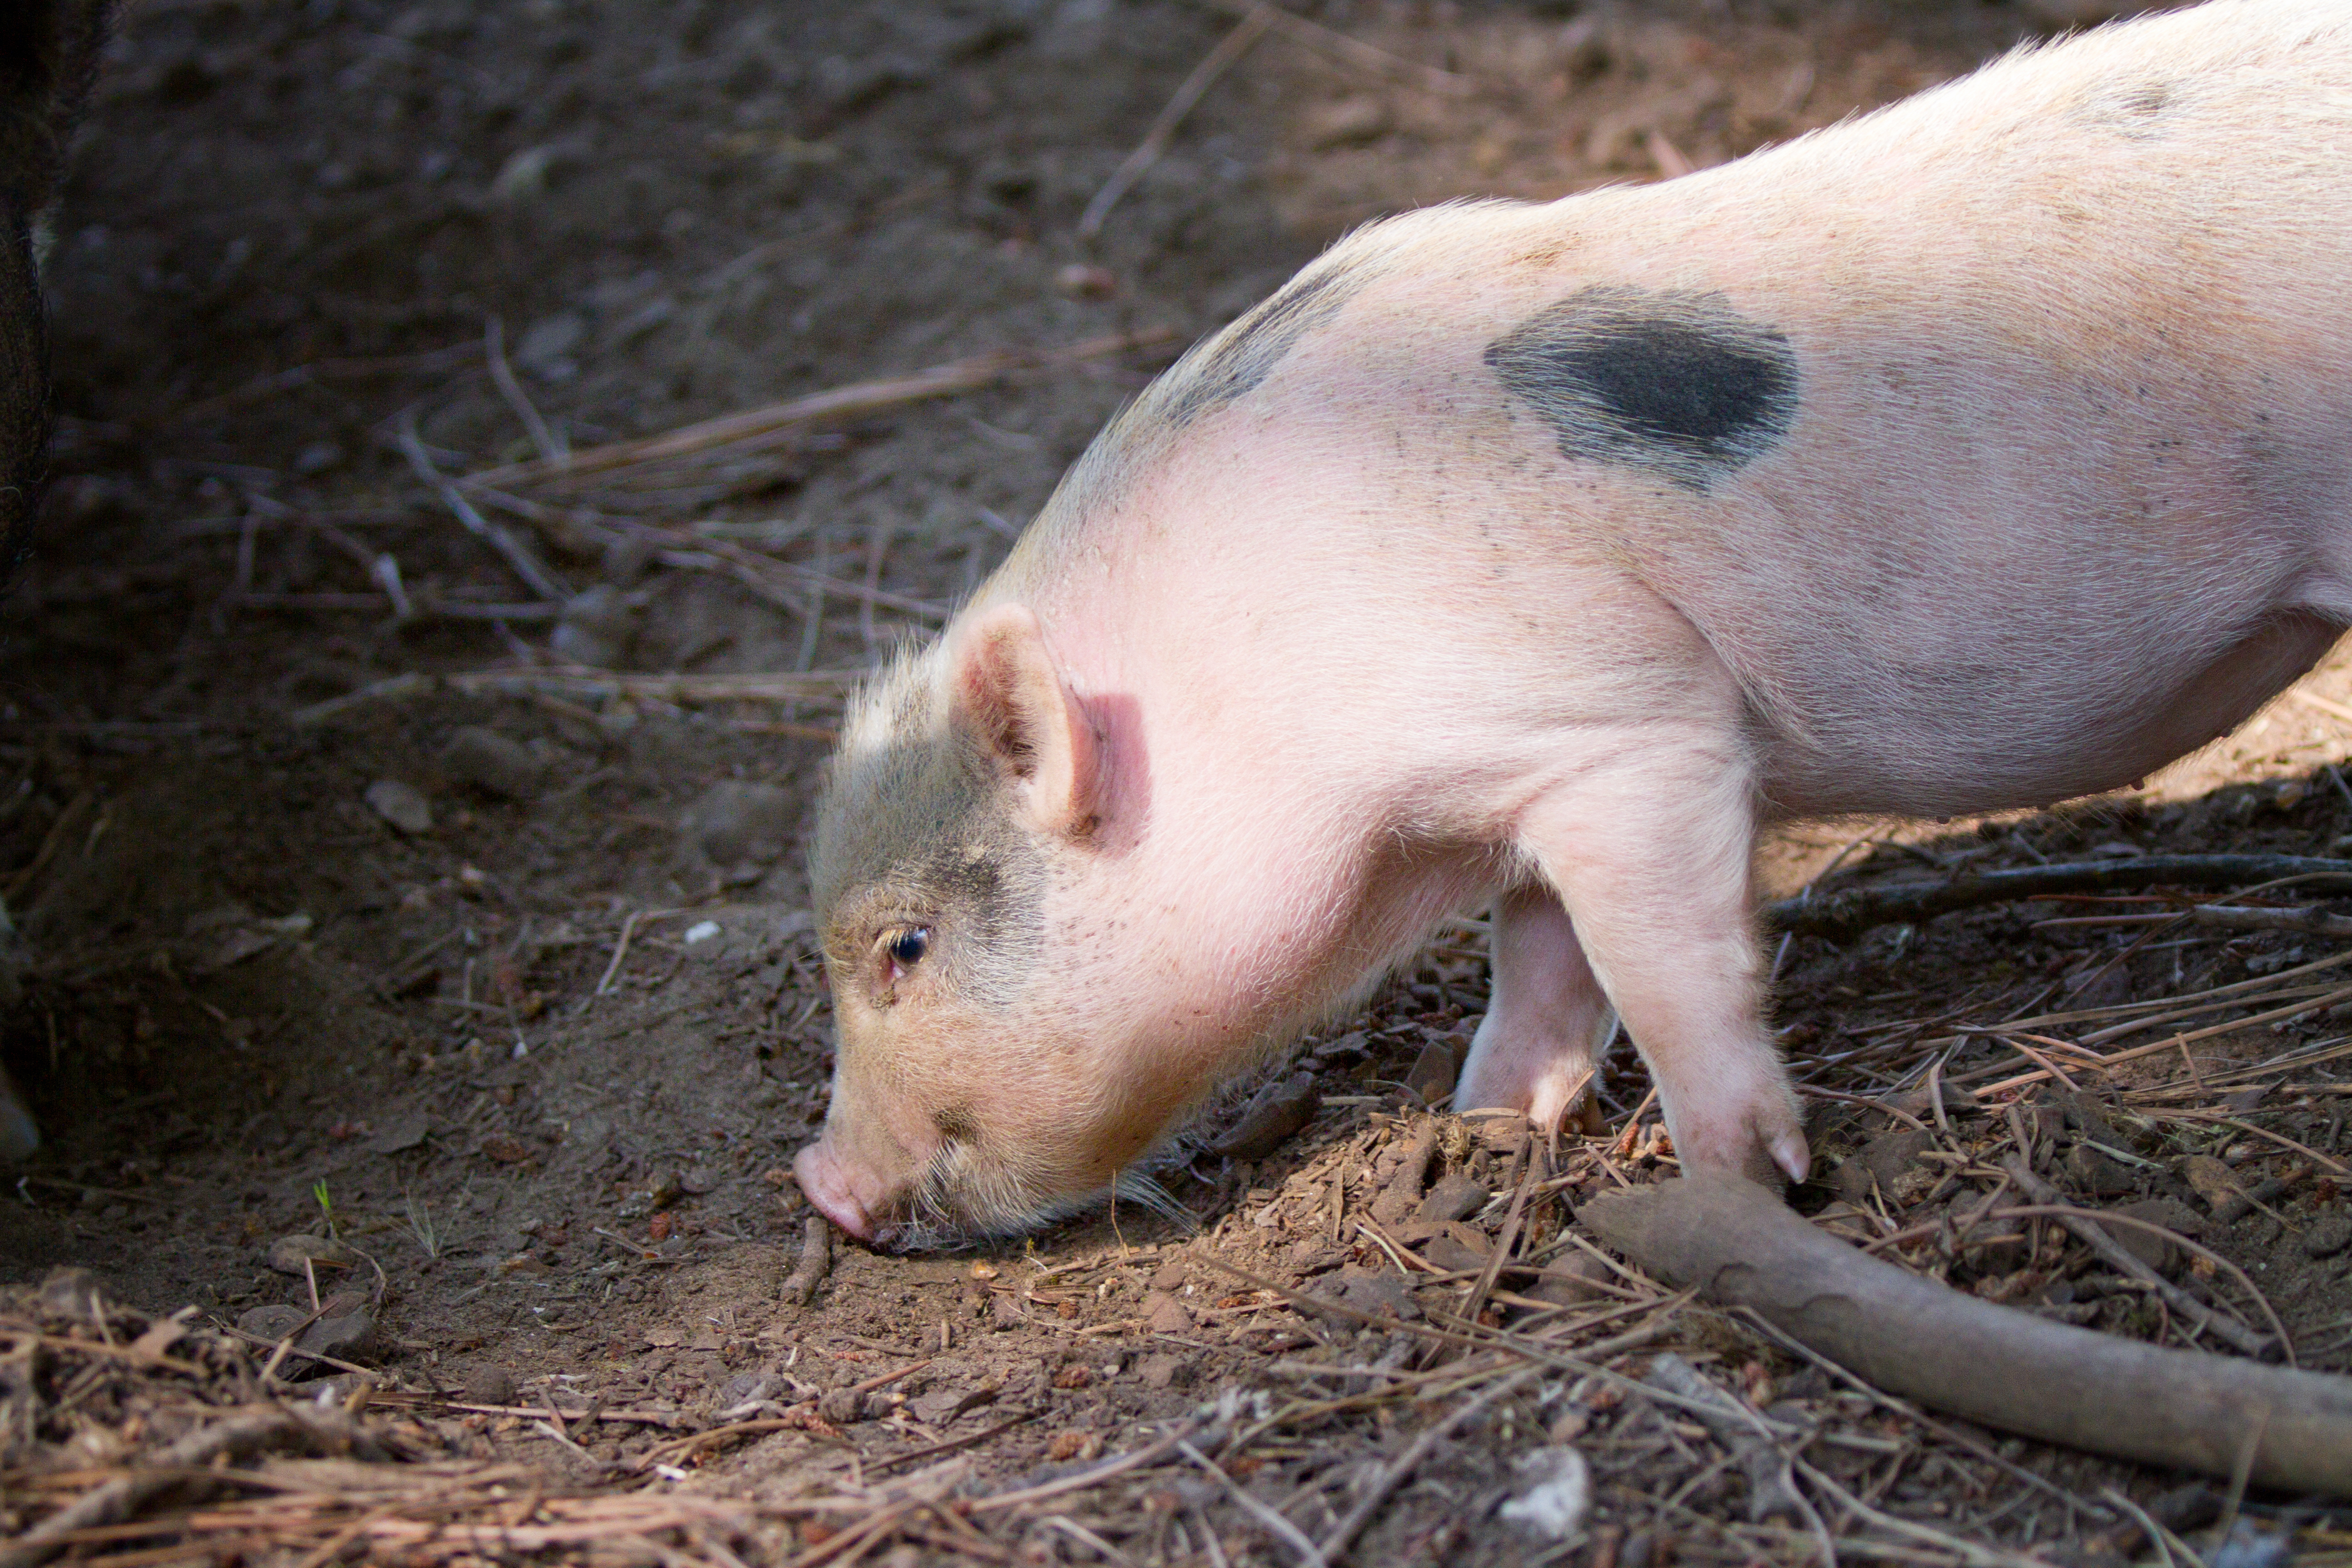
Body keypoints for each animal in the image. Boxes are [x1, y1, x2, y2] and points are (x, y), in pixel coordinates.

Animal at [796, 0, 2352, 1244]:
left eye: (905, 946)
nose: (818, 1183)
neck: (1242, 701)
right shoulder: (1526, 772)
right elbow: (1537, 959)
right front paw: (1484, 1135)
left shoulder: (1629, 729)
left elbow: (1667, 969)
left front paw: (1733, 1192)